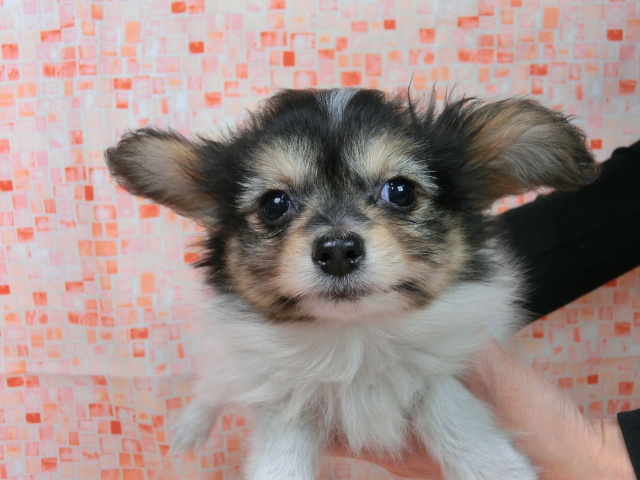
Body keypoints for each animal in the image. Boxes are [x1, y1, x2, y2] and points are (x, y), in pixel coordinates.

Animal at [105, 88, 599, 480]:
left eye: (401, 191)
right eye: (274, 204)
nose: (338, 249)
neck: (356, 338)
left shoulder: (456, 358)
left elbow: (448, 407)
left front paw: (493, 467)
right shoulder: (284, 396)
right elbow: (280, 459)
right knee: (213, 382)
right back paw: (190, 427)